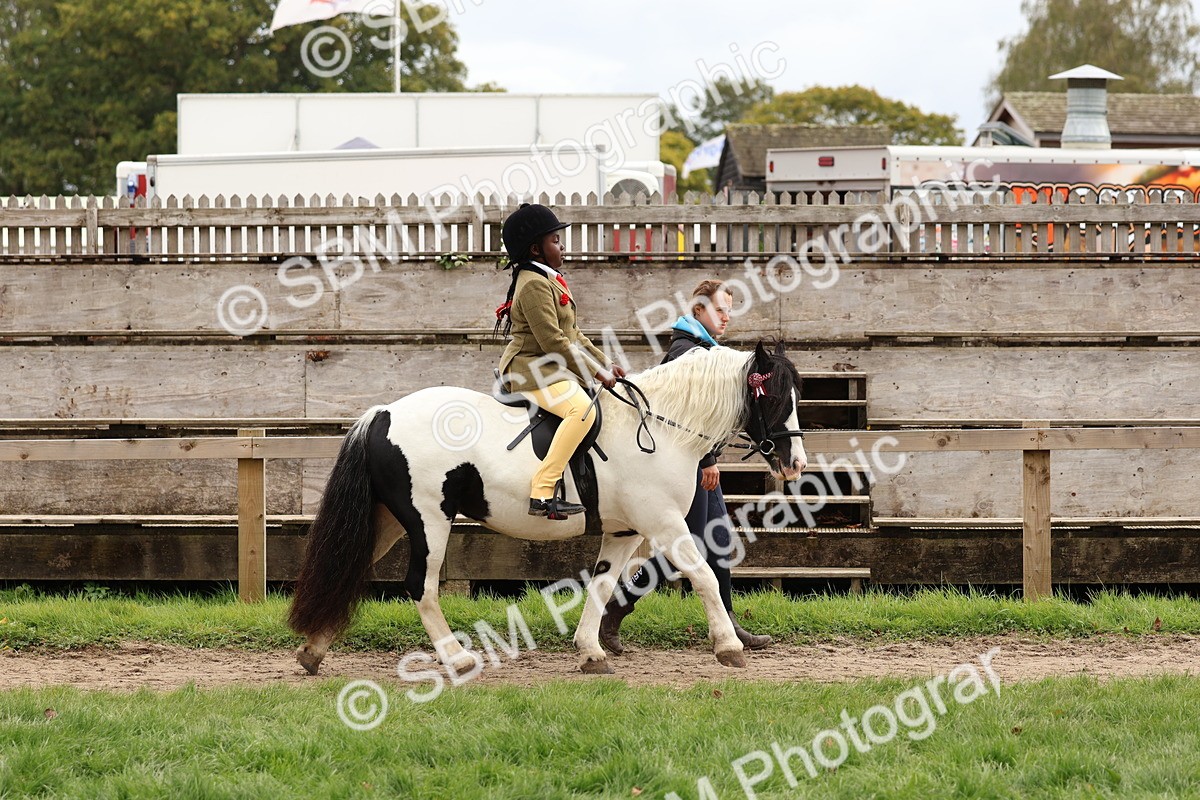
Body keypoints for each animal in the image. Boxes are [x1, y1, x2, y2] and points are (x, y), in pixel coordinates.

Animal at [287, 342, 808, 676]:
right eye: (772, 396)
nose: (795, 463)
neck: (662, 429)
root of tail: (383, 413)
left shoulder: (624, 531)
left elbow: (602, 585)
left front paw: (591, 653)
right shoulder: (662, 522)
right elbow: (702, 576)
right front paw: (729, 648)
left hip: (389, 520)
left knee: (349, 569)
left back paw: (313, 650)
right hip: (428, 520)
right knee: (421, 585)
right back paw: (457, 658)